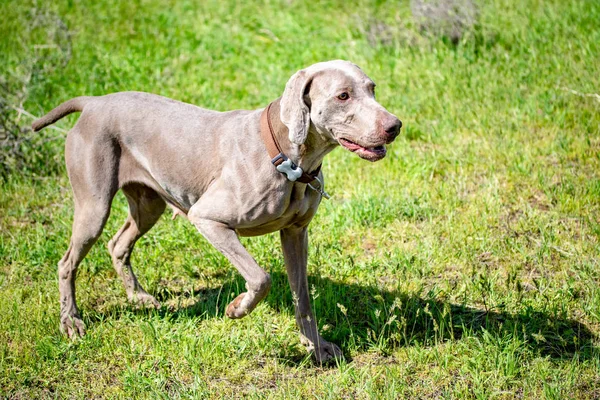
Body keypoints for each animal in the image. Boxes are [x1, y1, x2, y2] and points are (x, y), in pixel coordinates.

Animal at [31, 60, 398, 362]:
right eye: (343, 96)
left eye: (372, 88)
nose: (395, 125)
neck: (288, 158)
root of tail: (93, 102)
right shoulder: (207, 218)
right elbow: (261, 277)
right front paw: (237, 309)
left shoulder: (295, 233)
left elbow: (303, 299)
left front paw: (317, 348)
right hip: (94, 205)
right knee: (67, 262)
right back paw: (71, 322)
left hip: (149, 203)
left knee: (117, 244)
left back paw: (138, 298)